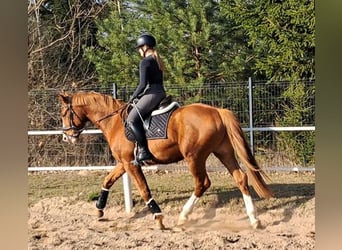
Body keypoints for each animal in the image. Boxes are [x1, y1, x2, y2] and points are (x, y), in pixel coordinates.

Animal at [58, 91, 272, 229]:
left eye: (63, 113)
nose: (67, 137)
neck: (115, 122)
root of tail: (217, 111)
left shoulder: (131, 164)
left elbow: (144, 190)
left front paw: (159, 218)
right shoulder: (123, 163)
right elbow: (107, 180)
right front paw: (99, 210)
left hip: (194, 157)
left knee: (202, 183)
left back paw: (183, 217)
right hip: (224, 152)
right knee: (241, 178)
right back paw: (254, 220)